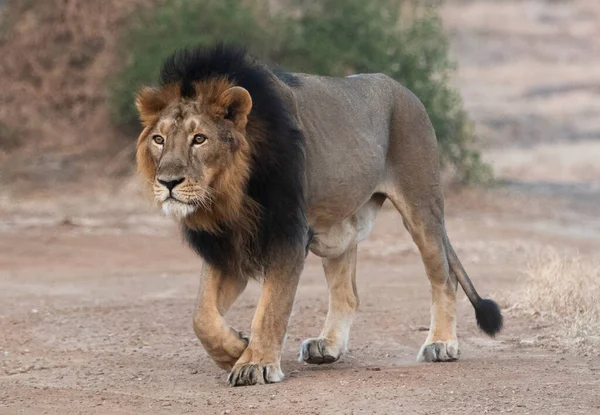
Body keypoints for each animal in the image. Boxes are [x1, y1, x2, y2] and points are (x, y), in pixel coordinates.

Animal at [135, 44, 502, 386]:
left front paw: (256, 363)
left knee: (444, 277)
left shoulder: (288, 235)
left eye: (199, 139)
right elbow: (202, 316)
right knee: (348, 293)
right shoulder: (225, 245)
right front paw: (236, 349)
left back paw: (442, 344)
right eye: (159, 139)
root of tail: (404, 89)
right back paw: (327, 345)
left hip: (421, 207)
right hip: (339, 228)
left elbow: (270, 309)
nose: (167, 182)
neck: (229, 194)